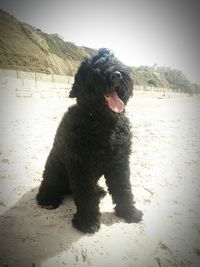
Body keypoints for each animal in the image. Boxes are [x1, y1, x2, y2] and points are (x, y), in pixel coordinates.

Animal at [36, 49, 143, 233]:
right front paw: (87, 222)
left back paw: (99, 191)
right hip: (54, 171)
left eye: (116, 62)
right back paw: (47, 200)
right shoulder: (81, 166)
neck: (102, 122)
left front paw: (129, 212)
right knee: (49, 184)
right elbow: (85, 196)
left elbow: (123, 188)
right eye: (95, 68)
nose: (117, 74)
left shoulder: (119, 162)